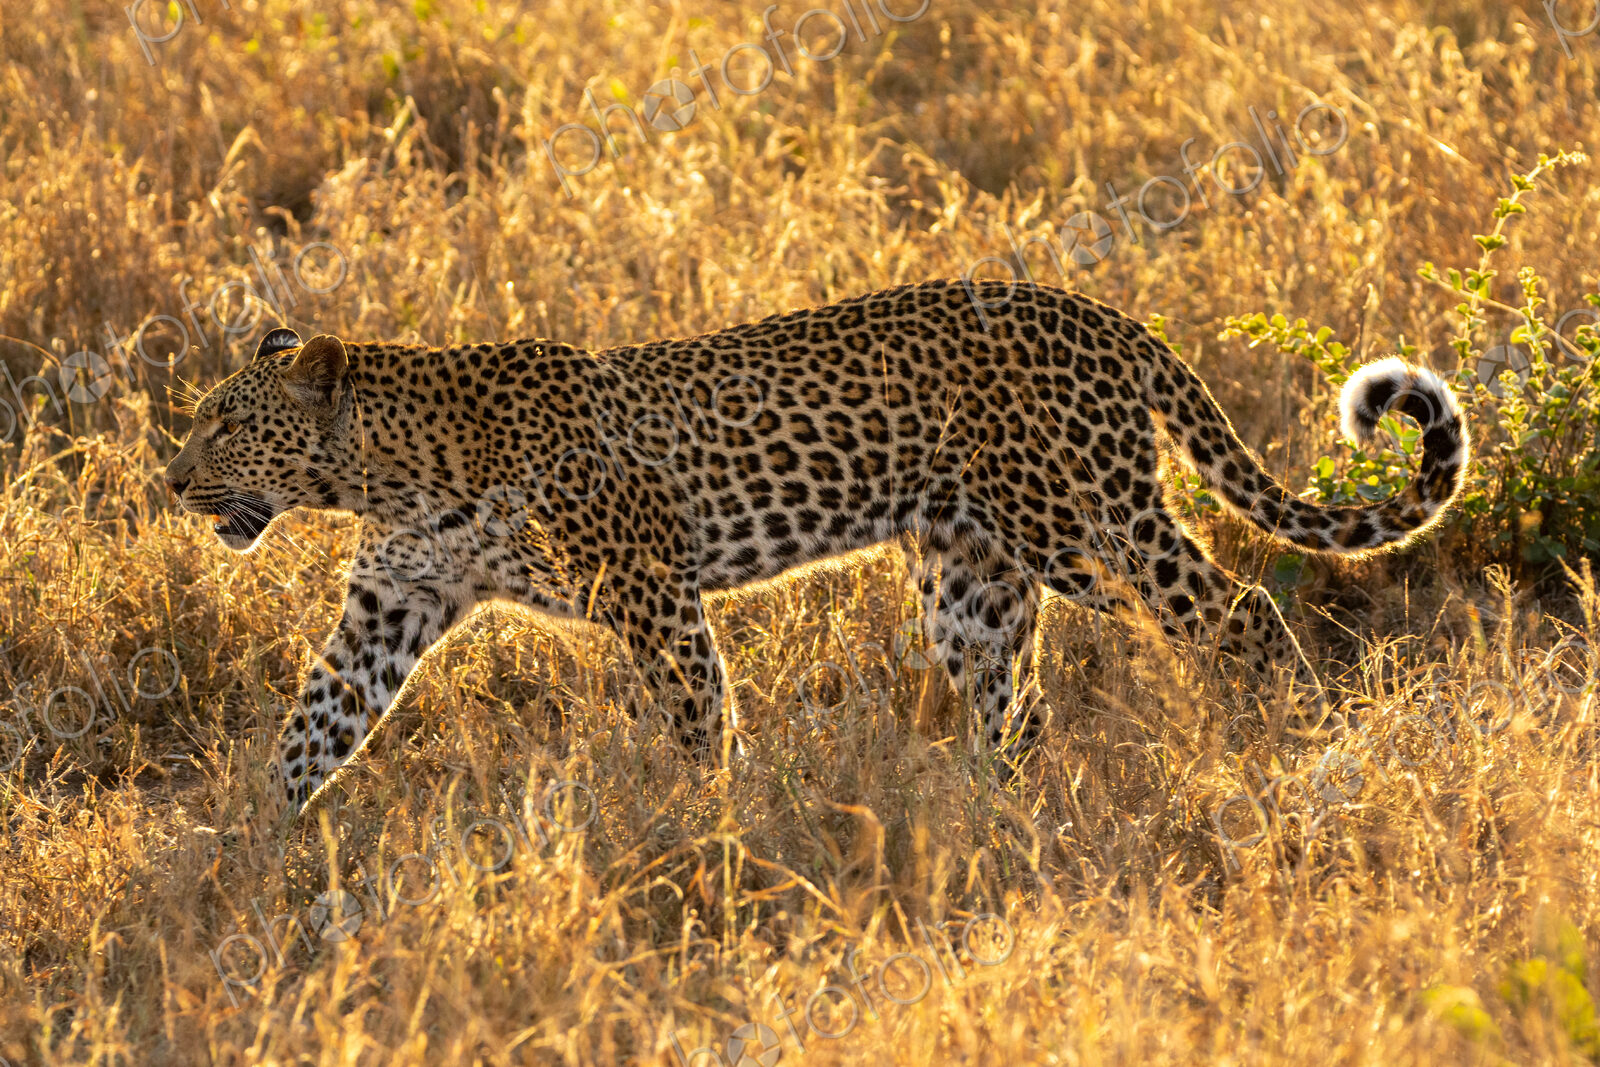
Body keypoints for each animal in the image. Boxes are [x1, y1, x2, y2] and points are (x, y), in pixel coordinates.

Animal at [161, 279, 1469, 824]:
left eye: (222, 421)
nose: (168, 479)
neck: (386, 467)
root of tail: (1100, 315)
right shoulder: (389, 603)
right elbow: (312, 726)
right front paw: (242, 855)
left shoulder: (648, 588)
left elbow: (699, 718)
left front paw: (711, 824)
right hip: (971, 573)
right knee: (1013, 700)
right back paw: (983, 809)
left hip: (1083, 524)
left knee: (1234, 606)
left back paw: (1270, 739)